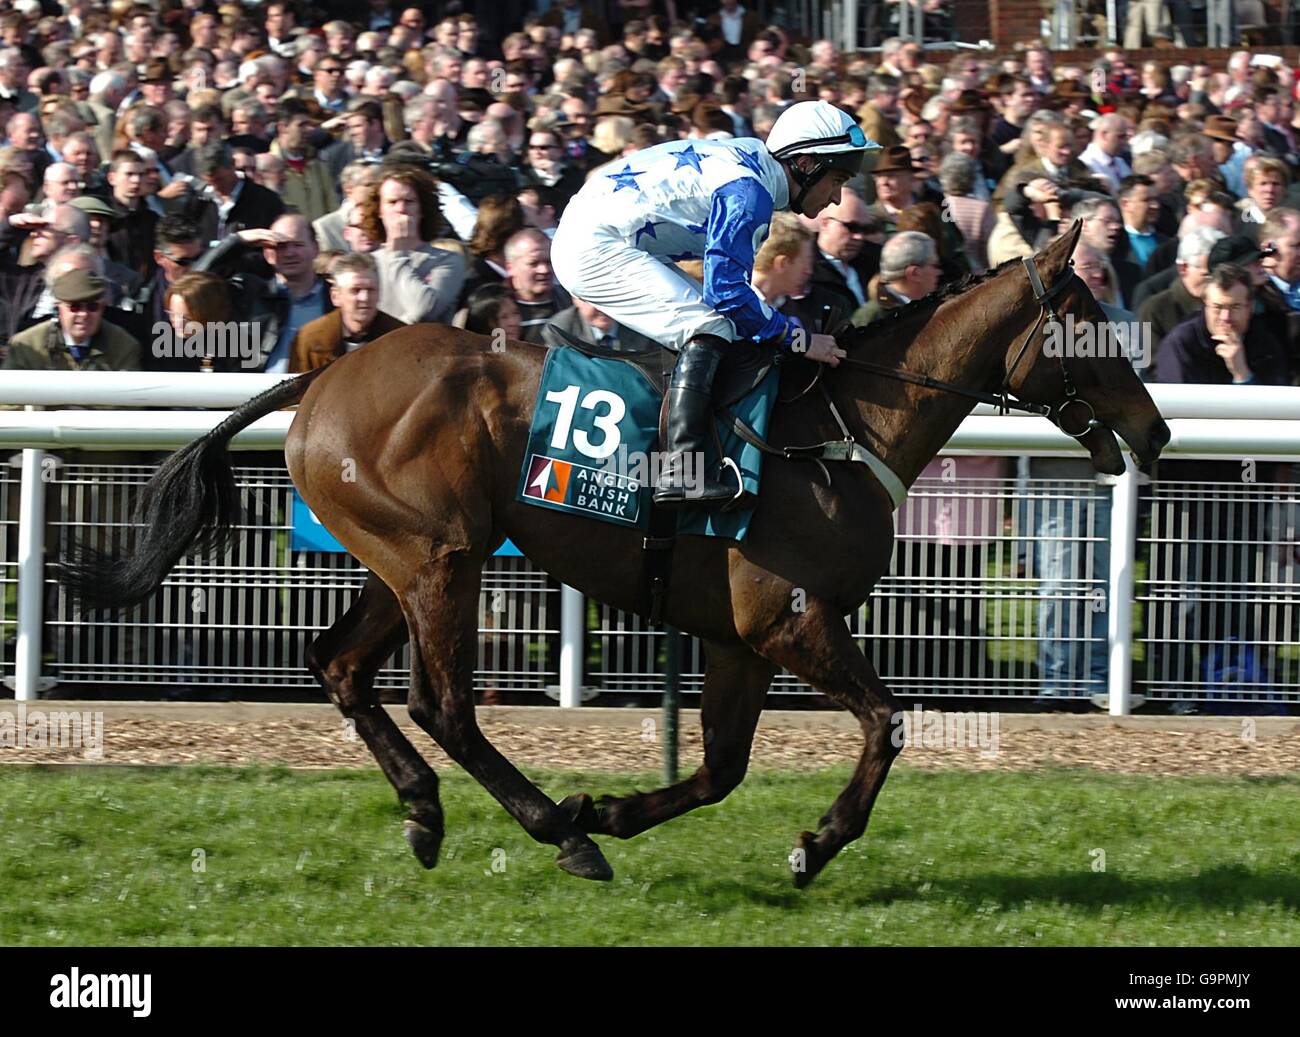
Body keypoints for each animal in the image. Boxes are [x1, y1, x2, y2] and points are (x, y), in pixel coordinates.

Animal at [63, 227, 1170, 894]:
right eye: (1087, 321)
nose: (1156, 430)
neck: (841, 429)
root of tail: (327, 367)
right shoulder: (793, 616)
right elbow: (886, 724)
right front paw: (811, 843)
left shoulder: (743, 637)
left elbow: (720, 768)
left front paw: (623, 806)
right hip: (441, 559)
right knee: (444, 704)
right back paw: (558, 831)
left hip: (400, 558)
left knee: (338, 665)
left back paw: (431, 811)